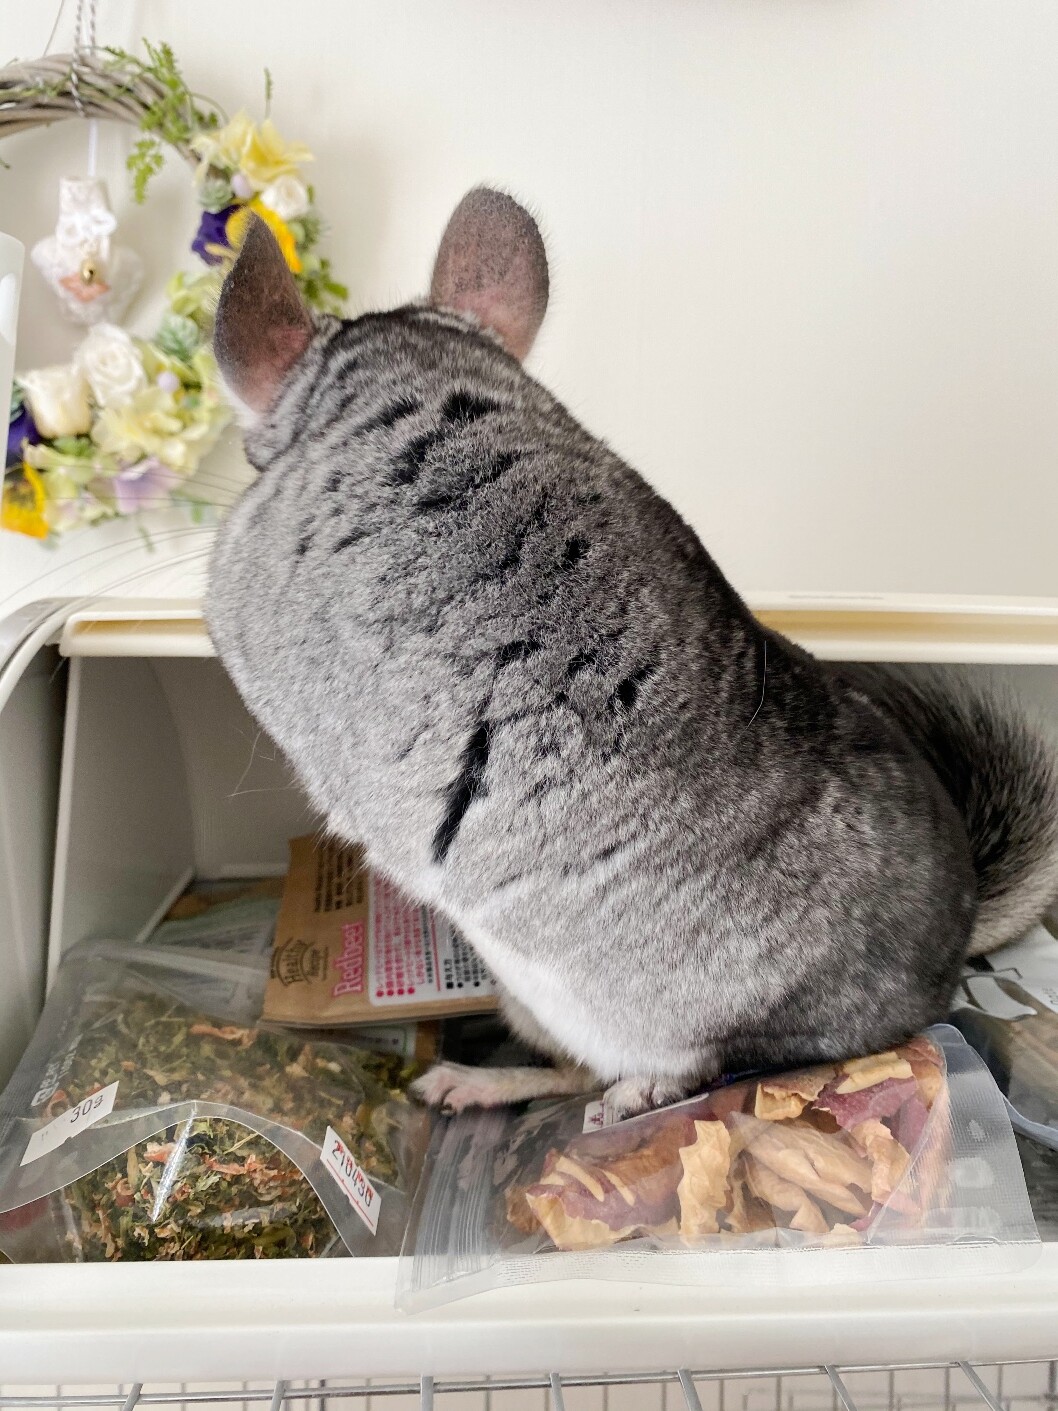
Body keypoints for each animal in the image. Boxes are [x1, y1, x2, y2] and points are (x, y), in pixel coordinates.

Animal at [206, 189, 1058, 1118]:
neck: (421, 386)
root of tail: (949, 957)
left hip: (641, 1021)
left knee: (656, 1072)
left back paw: (595, 1097)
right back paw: (463, 1083)